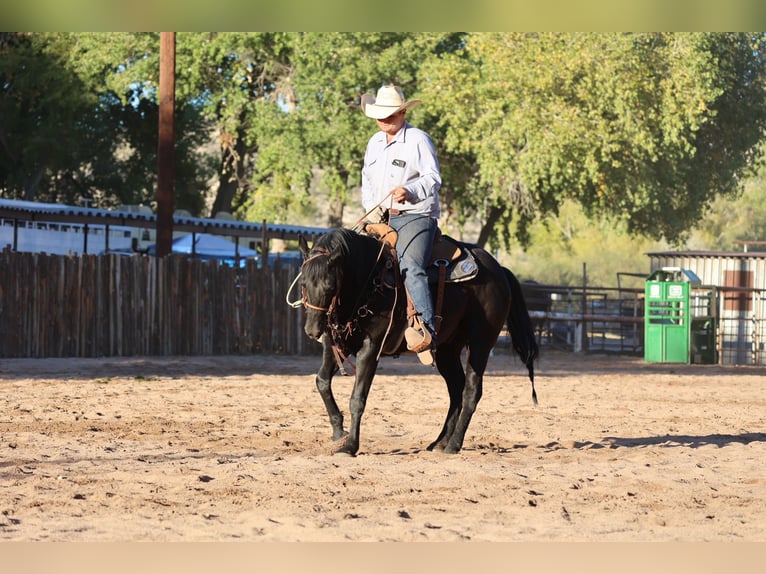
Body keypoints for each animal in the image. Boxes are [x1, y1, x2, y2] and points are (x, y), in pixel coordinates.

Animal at [296, 227, 540, 456]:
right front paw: (339, 433)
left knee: (471, 390)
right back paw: (439, 442)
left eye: (330, 286)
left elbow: (358, 398)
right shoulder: (335, 344)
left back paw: (454, 444)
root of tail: (500, 271)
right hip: (447, 349)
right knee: (456, 390)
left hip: (481, 341)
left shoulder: (371, 348)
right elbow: (322, 382)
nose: (312, 330)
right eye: (303, 283)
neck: (369, 280)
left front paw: (350, 446)